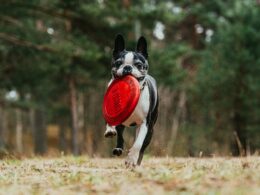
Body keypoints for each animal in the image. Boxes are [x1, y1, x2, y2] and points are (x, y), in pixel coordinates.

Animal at [104, 34, 158, 167]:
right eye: (118, 63)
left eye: (138, 65)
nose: (127, 67)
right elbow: (110, 121)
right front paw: (110, 129)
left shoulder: (145, 123)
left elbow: (138, 144)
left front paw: (131, 159)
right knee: (120, 135)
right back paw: (118, 148)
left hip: (150, 130)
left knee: (142, 147)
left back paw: (137, 162)